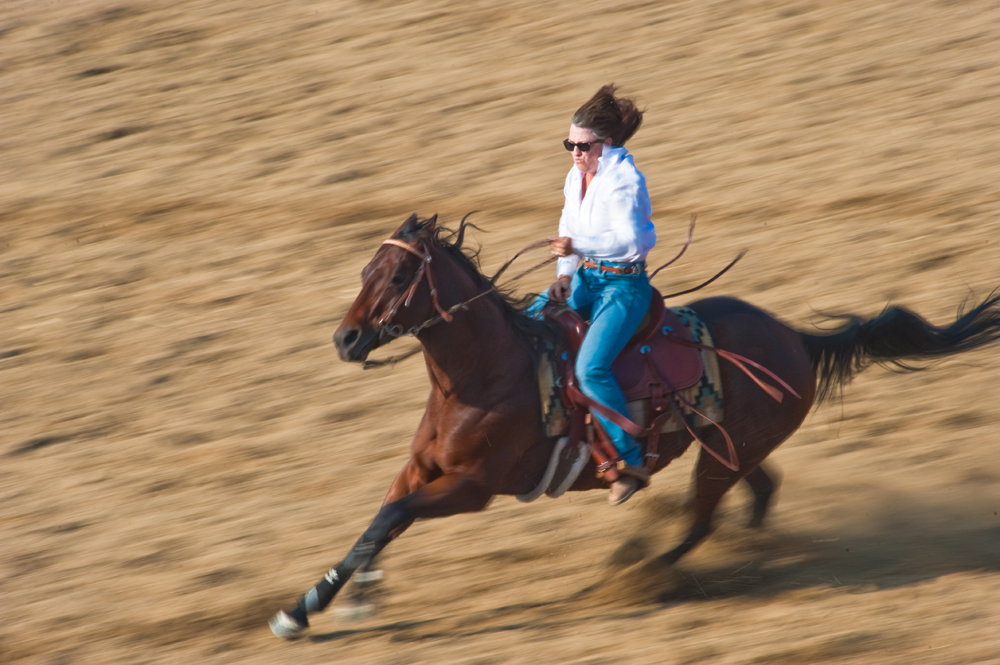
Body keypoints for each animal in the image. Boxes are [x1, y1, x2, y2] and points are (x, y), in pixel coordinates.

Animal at [268, 214, 1000, 640]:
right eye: (365, 269)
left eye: (396, 275)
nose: (345, 339)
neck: (485, 373)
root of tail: (797, 337)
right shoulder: (423, 467)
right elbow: (379, 519)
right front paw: (335, 600)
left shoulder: (472, 487)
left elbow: (390, 519)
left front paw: (309, 611)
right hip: (730, 447)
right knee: (759, 492)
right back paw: (748, 553)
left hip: (721, 458)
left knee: (701, 521)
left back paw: (638, 576)